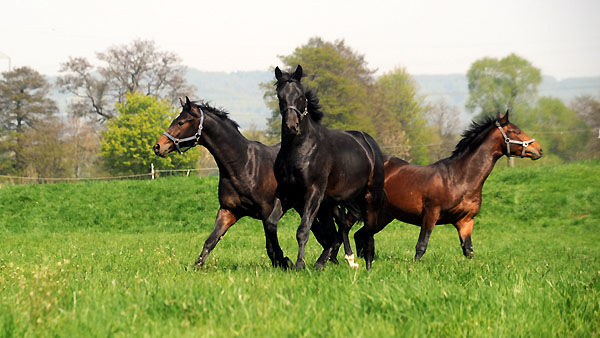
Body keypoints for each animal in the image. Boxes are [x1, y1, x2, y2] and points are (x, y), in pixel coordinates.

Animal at [264, 66, 386, 270]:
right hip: (332, 202)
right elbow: (271, 223)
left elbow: (303, 230)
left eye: (300, 96)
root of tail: (369, 143)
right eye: (280, 96)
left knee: (367, 230)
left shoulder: (313, 192)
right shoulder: (287, 192)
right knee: (340, 228)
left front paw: (299, 264)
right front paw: (282, 259)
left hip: (369, 195)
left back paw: (366, 265)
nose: (291, 126)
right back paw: (337, 261)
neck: (300, 149)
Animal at [338, 111, 544, 262]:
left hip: (383, 215)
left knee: (360, 235)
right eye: (516, 131)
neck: (459, 178)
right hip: (360, 210)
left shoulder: (465, 221)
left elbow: (468, 250)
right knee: (344, 229)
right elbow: (421, 245)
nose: (539, 150)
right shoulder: (431, 214)